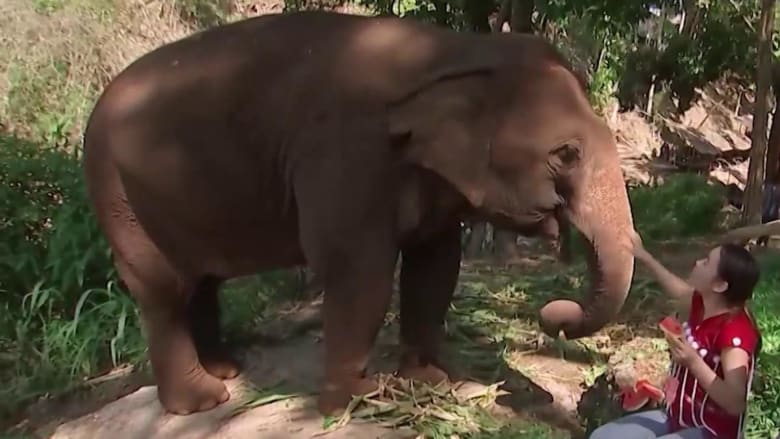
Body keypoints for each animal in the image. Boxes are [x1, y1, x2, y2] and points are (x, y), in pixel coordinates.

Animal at [81, 10, 635, 416]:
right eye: (567, 153)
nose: (554, 312)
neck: (453, 51)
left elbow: (435, 266)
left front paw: (428, 380)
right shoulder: (345, 154)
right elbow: (359, 270)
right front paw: (357, 400)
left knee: (201, 281)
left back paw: (226, 371)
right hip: (117, 194)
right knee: (162, 291)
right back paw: (201, 402)